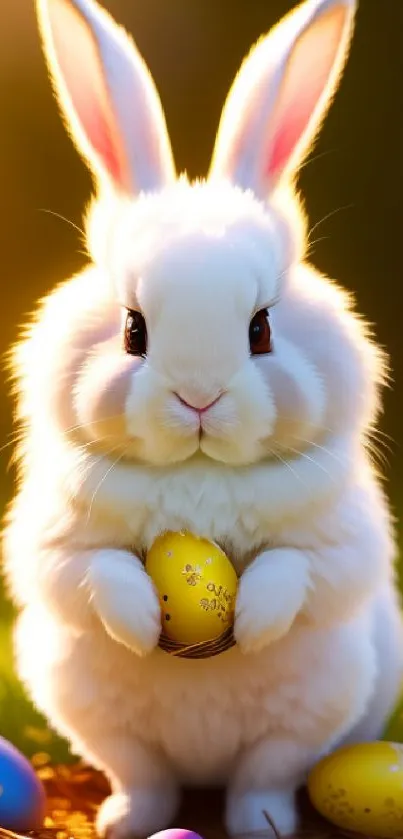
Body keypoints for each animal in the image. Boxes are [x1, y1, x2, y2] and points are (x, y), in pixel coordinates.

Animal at [3, 0, 403, 836]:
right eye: (133, 330)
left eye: (260, 328)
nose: (197, 397)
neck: (196, 470)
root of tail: (204, 776)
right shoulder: (50, 539)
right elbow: (86, 571)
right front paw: (138, 622)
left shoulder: (344, 540)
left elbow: (304, 570)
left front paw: (249, 622)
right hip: (97, 715)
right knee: (144, 773)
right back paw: (124, 818)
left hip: (309, 713)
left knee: (265, 774)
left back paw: (260, 821)